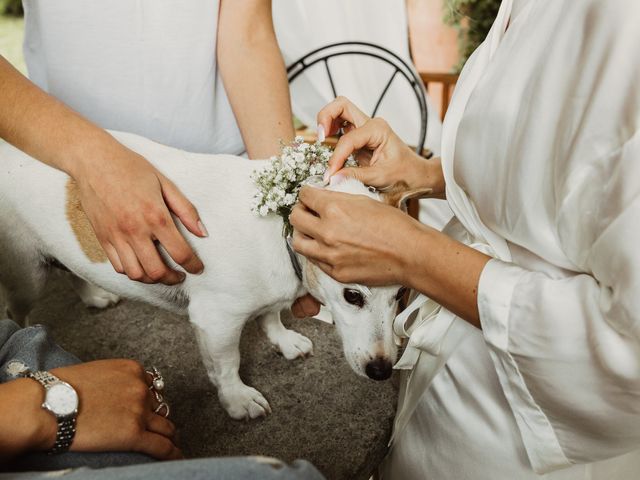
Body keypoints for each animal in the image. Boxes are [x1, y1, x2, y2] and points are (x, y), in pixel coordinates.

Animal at [0, 131, 420, 420]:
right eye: (353, 296)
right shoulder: (217, 322)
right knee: (17, 309)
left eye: (402, 295)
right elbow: (226, 363)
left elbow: (271, 315)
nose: (383, 371)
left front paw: (283, 340)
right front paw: (237, 399)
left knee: (73, 270)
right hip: (27, 275)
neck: (278, 225)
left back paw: (93, 296)